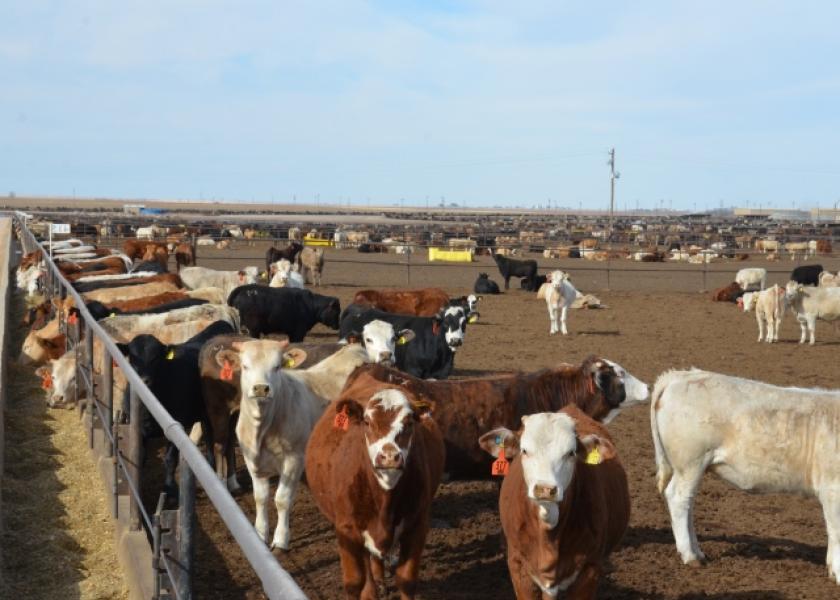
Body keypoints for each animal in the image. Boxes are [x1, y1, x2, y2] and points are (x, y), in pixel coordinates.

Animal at [115, 322, 233, 500]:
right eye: (133, 357)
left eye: (156, 358)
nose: (144, 380)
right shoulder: (138, 427)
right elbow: (140, 457)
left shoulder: (177, 424)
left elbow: (170, 459)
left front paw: (169, 488)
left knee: (211, 438)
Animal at [306, 372, 442, 596]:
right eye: (367, 422)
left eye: (409, 423)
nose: (389, 457)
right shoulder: (346, 530)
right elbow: (354, 583)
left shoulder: (418, 525)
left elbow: (406, 580)